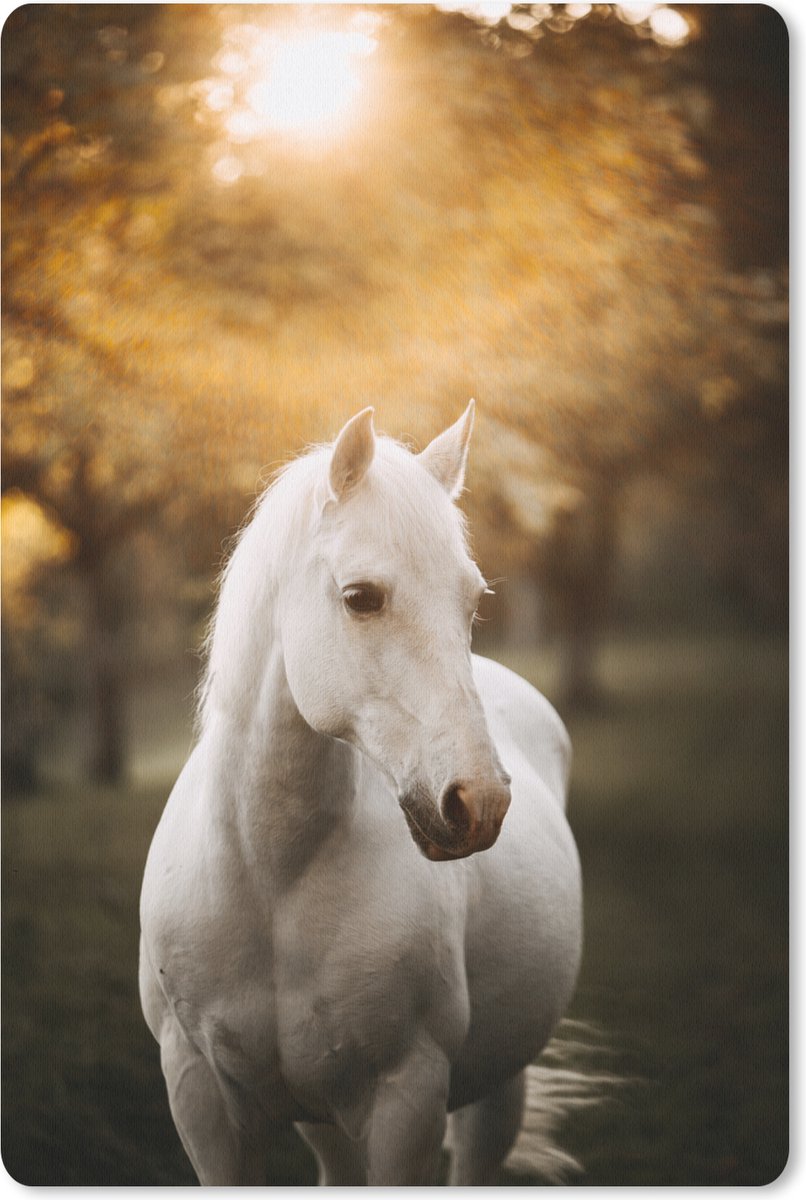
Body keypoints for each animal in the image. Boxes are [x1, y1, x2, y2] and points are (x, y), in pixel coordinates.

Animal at [139, 403, 583, 1185]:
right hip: (324, 1119)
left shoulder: (406, 1101)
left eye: (472, 601)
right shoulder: (201, 1098)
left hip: (496, 1090)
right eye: (361, 599)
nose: (480, 802)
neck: (271, 877)